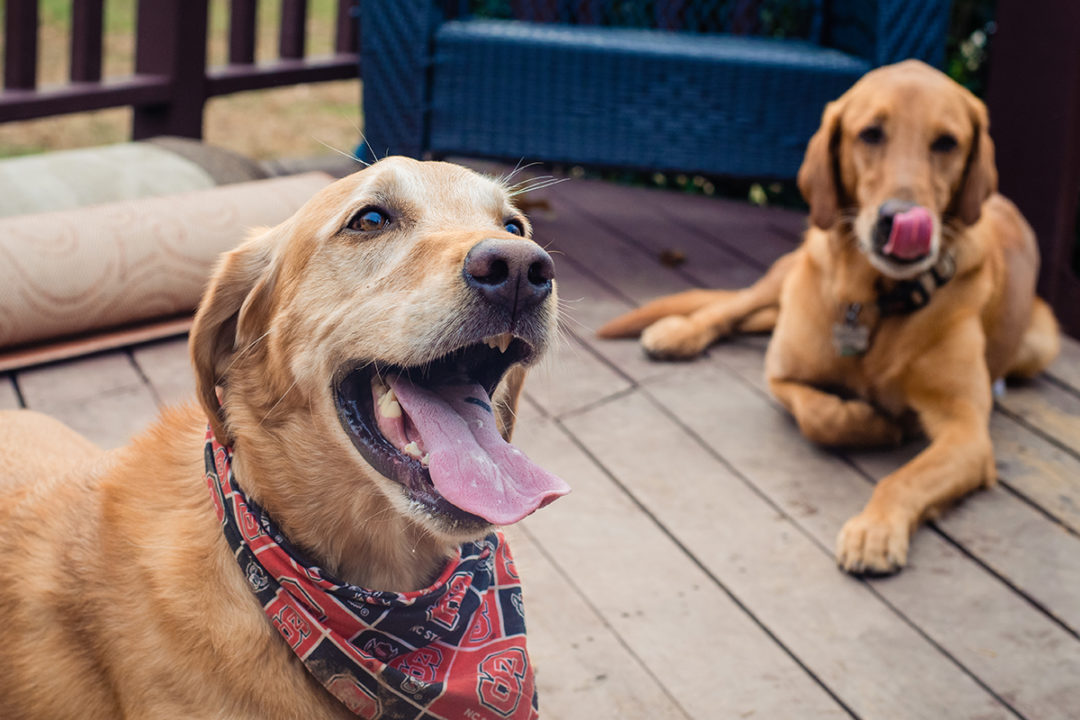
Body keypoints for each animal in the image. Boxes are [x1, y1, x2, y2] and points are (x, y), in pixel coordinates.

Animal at [600, 63, 1062, 578]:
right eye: (871, 133)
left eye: (946, 142)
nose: (901, 219)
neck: (873, 301)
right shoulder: (782, 372)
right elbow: (818, 415)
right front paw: (872, 421)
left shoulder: (967, 431)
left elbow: (905, 476)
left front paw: (874, 529)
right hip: (790, 270)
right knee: (736, 306)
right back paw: (678, 332)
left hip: (1040, 343)